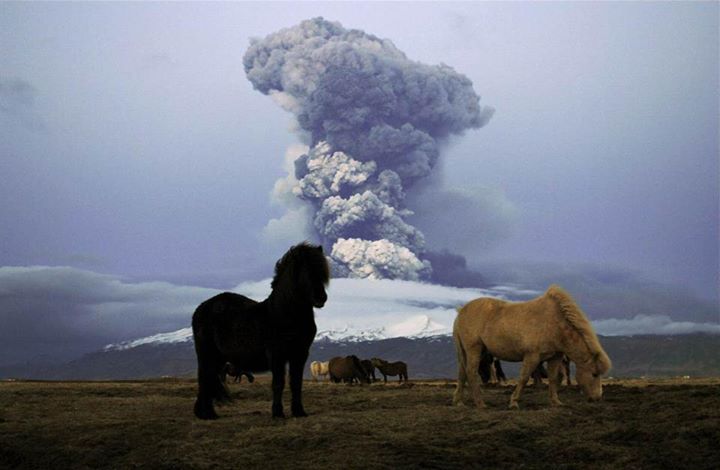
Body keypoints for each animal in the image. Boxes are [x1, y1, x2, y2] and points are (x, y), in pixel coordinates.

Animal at [190, 242, 328, 418]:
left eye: (323, 272)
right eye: (306, 272)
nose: (321, 298)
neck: (284, 314)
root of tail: (201, 308)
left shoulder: (300, 354)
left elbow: (296, 383)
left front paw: (299, 412)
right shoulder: (277, 355)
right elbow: (278, 383)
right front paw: (277, 413)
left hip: (218, 358)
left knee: (209, 379)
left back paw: (208, 414)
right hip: (207, 355)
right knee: (205, 377)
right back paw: (206, 414)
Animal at [452, 284, 612, 410]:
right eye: (594, 374)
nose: (597, 398)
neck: (555, 323)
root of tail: (461, 312)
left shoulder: (555, 357)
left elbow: (553, 378)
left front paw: (556, 402)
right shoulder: (532, 357)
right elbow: (523, 378)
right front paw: (514, 403)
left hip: (466, 352)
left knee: (462, 373)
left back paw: (459, 402)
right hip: (474, 349)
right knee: (471, 372)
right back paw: (480, 403)